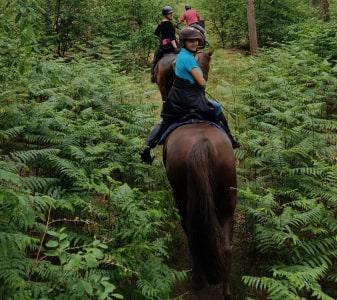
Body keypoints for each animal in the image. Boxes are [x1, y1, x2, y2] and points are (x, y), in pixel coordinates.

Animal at [163, 123, 236, 298]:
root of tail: (201, 144)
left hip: (182, 197)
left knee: (192, 236)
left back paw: (198, 280)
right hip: (228, 199)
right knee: (227, 247)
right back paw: (226, 291)